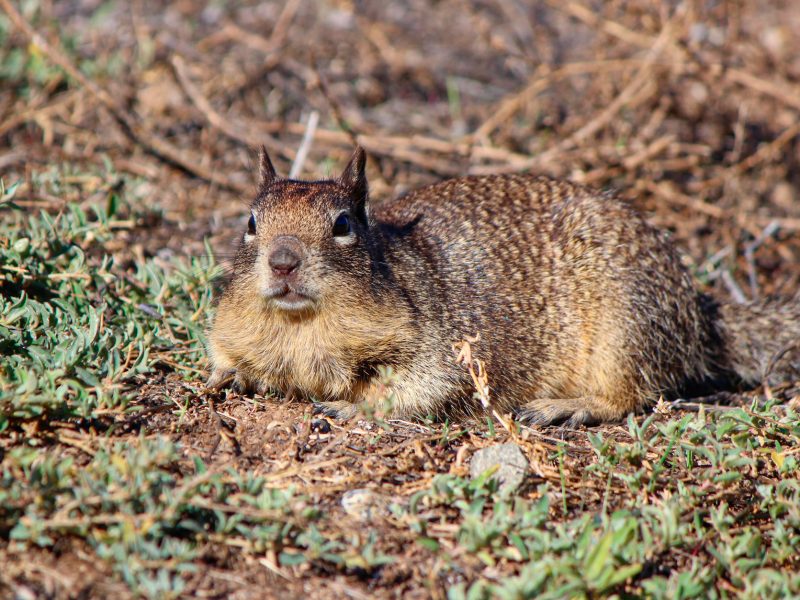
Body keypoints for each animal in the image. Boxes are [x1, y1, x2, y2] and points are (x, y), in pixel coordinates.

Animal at [206, 146, 800, 426]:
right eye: (251, 221)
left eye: (343, 224)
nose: (283, 262)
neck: (302, 330)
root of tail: (698, 310)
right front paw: (226, 375)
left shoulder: (443, 347)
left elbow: (423, 390)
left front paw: (356, 408)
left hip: (625, 328)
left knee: (636, 393)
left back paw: (566, 407)